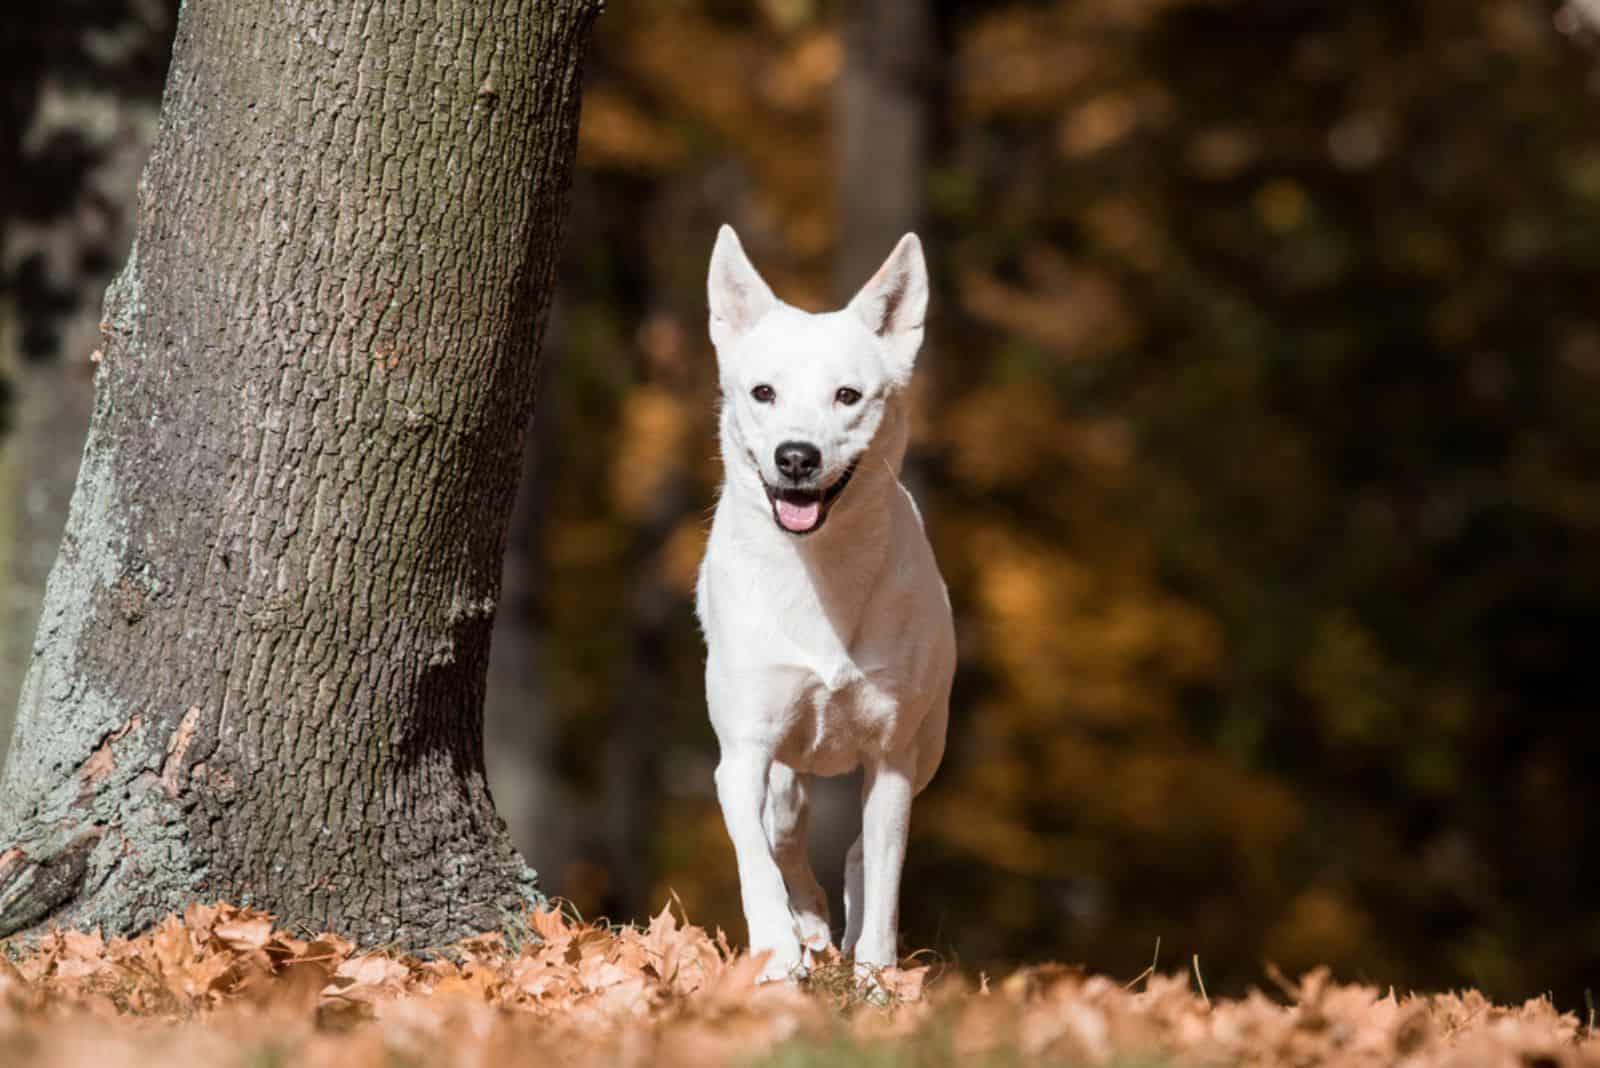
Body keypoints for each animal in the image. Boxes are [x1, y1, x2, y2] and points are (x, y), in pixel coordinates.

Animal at [697, 227, 947, 984]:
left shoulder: (892, 752)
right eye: (763, 392)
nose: (797, 457)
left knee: (865, 849)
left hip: (927, 744)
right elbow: (755, 858)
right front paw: (779, 958)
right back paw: (805, 925)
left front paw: (877, 979)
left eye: (848, 395)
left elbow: (885, 873)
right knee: (784, 824)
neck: (817, 576)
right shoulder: (742, 747)